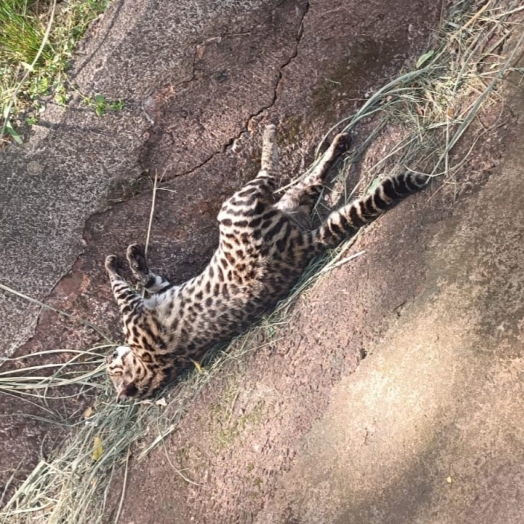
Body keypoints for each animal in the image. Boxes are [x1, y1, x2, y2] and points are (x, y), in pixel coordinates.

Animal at [104, 125, 428, 400]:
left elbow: (142, 281)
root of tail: (303, 247)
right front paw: (116, 264)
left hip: (256, 204)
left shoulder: (149, 299)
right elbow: (125, 287)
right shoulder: (136, 312)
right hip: (243, 207)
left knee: (294, 177)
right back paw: (285, 137)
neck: (152, 371)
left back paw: (321, 141)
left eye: (111, 367)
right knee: (279, 176)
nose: (110, 356)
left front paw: (129, 259)